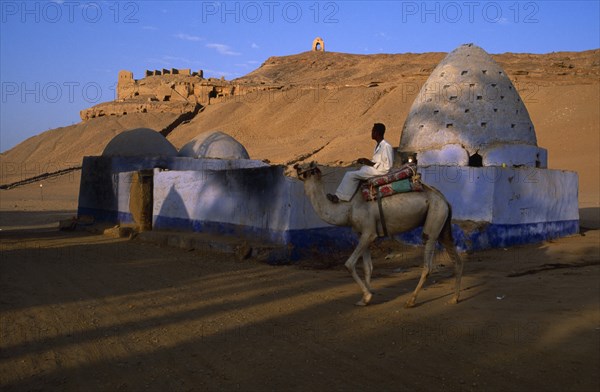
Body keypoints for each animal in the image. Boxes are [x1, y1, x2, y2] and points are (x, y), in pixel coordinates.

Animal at [296, 161, 464, 308]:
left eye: (307, 167)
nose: (296, 166)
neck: (347, 209)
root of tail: (445, 200)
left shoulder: (369, 232)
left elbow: (349, 264)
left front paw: (367, 295)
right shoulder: (362, 233)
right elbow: (367, 267)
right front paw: (365, 298)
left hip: (434, 219)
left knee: (428, 264)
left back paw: (411, 301)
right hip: (443, 226)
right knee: (456, 259)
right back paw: (455, 298)